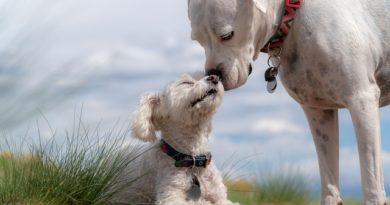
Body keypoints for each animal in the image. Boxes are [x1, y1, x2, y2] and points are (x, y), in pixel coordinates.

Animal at [110, 72, 238, 205]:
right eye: (186, 83)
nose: (214, 77)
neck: (194, 163)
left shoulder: (221, 197)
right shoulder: (170, 196)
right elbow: (198, 202)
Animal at [187, 0, 388, 205]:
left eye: (227, 35)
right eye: (198, 40)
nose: (213, 74)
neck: (292, 16)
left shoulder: (361, 100)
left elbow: (372, 182)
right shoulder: (319, 113)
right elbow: (329, 182)